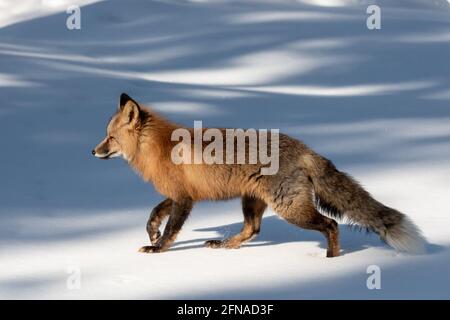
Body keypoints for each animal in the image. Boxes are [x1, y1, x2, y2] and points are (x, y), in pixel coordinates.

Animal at [92, 93, 426, 258]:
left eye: (110, 138)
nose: (93, 152)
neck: (160, 146)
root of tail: (306, 149)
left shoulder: (185, 199)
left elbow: (172, 230)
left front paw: (157, 248)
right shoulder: (177, 194)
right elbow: (153, 214)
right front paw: (152, 233)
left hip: (290, 208)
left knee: (330, 225)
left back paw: (331, 261)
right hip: (252, 201)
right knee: (252, 230)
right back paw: (224, 246)